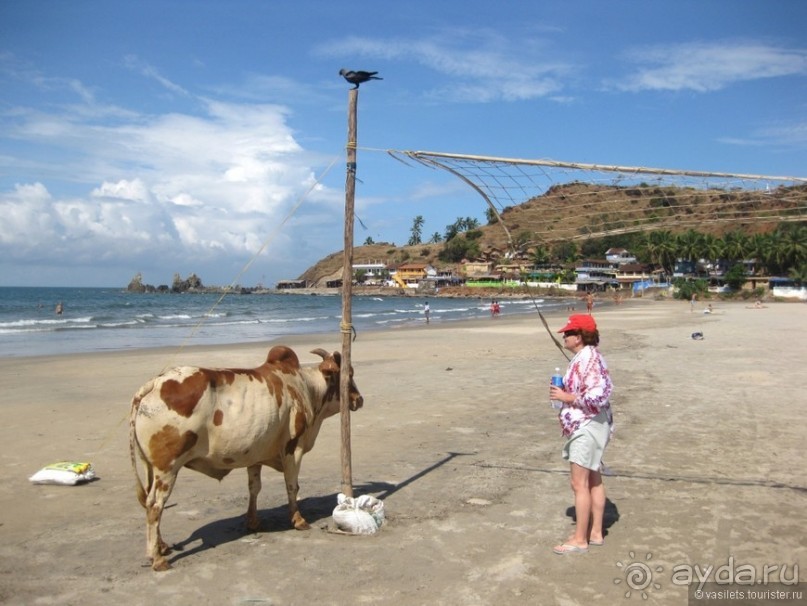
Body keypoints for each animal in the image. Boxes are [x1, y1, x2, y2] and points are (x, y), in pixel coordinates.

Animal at [129, 344, 362, 572]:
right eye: (348, 374)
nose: (359, 399)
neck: (306, 387)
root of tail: (154, 384)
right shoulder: (292, 449)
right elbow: (292, 486)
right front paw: (298, 520)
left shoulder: (255, 456)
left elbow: (254, 488)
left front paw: (253, 522)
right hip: (167, 469)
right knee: (155, 506)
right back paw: (157, 559)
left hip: (152, 469)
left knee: (150, 503)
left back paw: (161, 546)